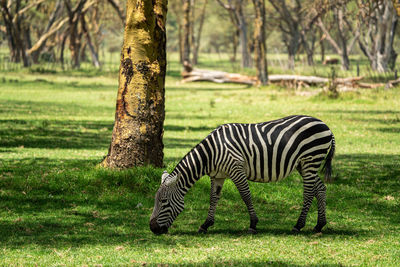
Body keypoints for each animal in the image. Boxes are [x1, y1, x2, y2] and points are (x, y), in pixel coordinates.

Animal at [149, 115, 334, 234]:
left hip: (310, 159)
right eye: (156, 201)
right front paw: (206, 225)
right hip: (304, 165)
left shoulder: (236, 169)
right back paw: (319, 225)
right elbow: (213, 198)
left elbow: (246, 195)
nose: (152, 229)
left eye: (164, 202)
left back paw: (298, 225)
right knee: (320, 188)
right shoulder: (217, 175)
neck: (211, 153)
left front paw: (253, 224)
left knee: (309, 192)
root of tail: (325, 125)